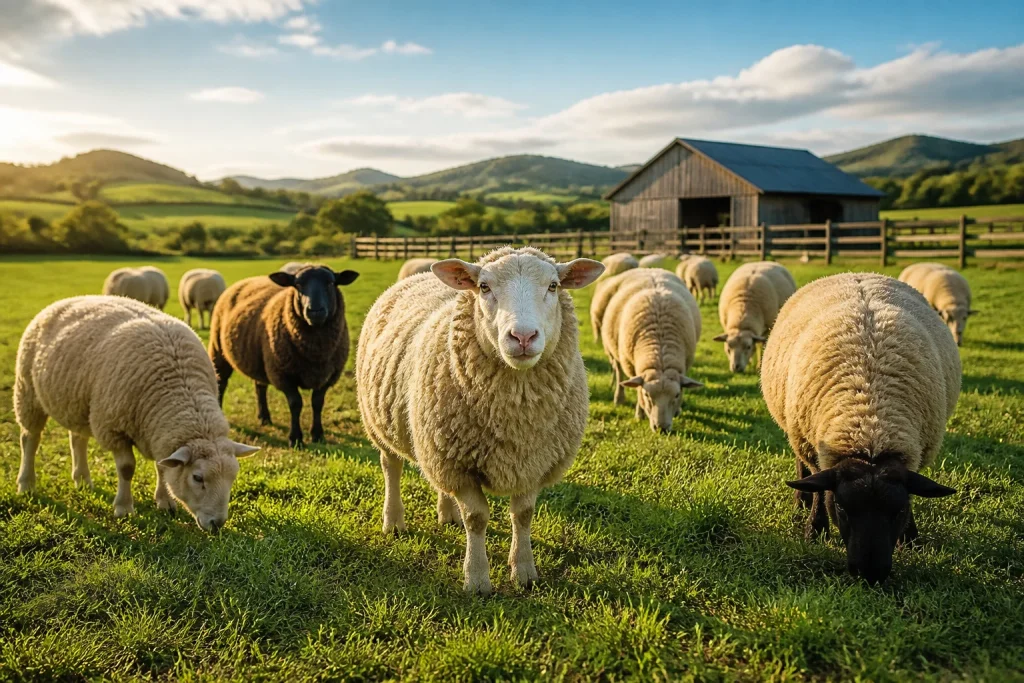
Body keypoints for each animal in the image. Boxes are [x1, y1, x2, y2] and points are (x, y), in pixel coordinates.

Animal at [14, 295, 259, 530]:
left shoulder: (159, 433)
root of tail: (63, 301)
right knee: (30, 439)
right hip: (28, 391)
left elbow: (162, 467)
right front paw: (123, 508)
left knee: (78, 439)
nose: (217, 524)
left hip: (78, 404)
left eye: (233, 477)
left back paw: (82, 480)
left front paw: (165, 502)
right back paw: (26, 484)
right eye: (197, 477)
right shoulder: (114, 428)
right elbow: (126, 469)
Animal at [209, 264, 359, 447]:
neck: (315, 351)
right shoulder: (282, 374)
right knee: (221, 382)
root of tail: (243, 281)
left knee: (260, 386)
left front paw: (318, 435)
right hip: (219, 349)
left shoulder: (328, 376)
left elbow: (317, 403)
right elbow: (296, 404)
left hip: (261, 360)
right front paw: (295, 439)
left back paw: (264, 417)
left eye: (330, 283)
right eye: (298, 285)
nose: (315, 311)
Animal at [356, 246, 604, 594]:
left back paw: (447, 514)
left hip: (436, 443)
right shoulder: (460, 466)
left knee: (439, 484)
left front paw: (524, 571)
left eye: (554, 286)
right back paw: (393, 521)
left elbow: (523, 514)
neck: (515, 413)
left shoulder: (533, 461)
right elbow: (476, 518)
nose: (523, 336)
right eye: (484, 287)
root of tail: (418, 276)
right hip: (383, 424)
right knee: (391, 467)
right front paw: (476, 578)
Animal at [599, 269, 703, 432]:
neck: (660, 354)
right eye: (647, 395)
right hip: (615, 351)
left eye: (676, 395)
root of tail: (650, 269)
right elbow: (636, 389)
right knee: (619, 373)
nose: (661, 428)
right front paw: (639, 413)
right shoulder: (631, 366)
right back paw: (619, 398)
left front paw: (678, 410)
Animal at [761, 273, 960, 584]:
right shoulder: (816, 448)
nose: (870, 574)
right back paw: (801, 500)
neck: (870, 424)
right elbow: (821, 492)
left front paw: (911, 539)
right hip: (797, 431)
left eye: (899, 509)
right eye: (842, 507)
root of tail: (855, 273)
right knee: (803, 467)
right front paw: (814, 530)